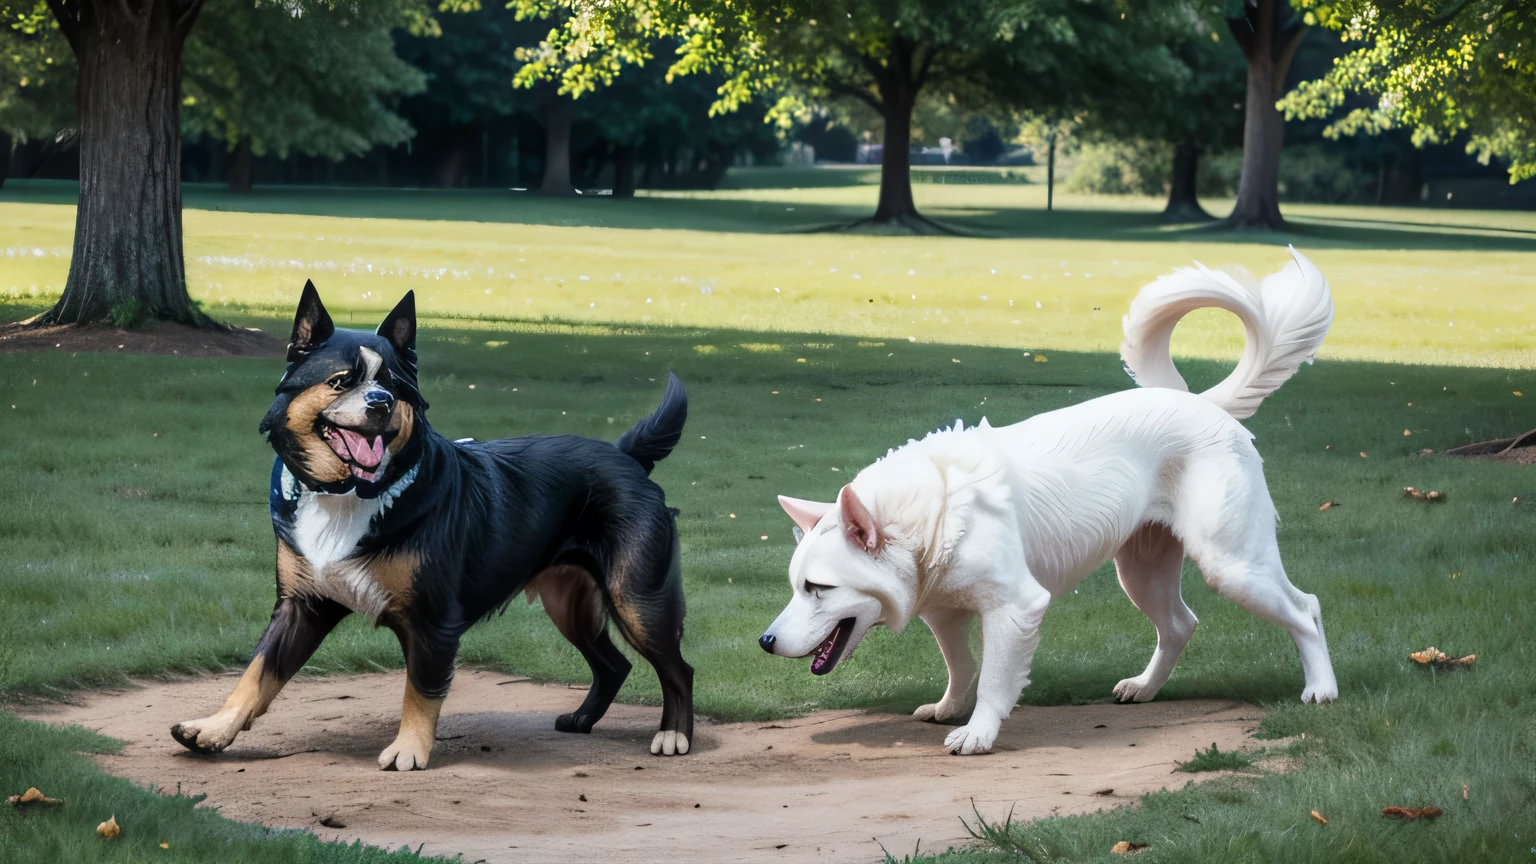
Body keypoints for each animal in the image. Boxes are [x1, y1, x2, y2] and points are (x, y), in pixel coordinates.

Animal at [171, 284, 694, 765]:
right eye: (341, 381)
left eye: (395, 385)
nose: (380, 402)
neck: (351, 495)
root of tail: (626, 456)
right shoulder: (301, 605)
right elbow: (257, 673)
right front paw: (214, 728)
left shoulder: (433, 620)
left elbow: (421, 689)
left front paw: (408, 750)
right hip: (570, 604)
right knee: (614, 665)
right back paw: (584, 717)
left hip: (637, 598)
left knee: (677, 669)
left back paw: (674, 735)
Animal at [761, 245, 1339, 750]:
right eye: (795, 586)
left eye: (818, 588)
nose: (766, 642)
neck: (933, 512)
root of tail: (1204, 404)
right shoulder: (944, 611)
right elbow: (962, 666)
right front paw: (949, 708)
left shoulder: (1016, 608)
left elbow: (994, 679)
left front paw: (978, 733)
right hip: (1143, 571)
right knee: (1181, 623)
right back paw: (1145, 688)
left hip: (1231, 563)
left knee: (1305, 607)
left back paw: (1321, 688)